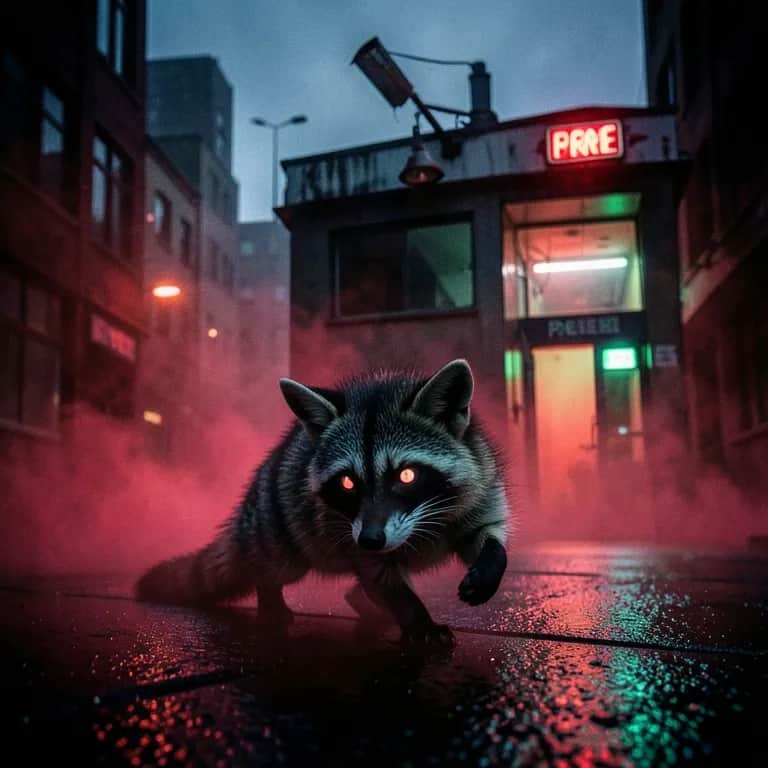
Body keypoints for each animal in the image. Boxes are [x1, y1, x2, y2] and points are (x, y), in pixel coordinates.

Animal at [135, 359, 511, 647]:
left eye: (406, 476)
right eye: (348, 482)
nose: (371, 539)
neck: (424, 521)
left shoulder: (481, 488)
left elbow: (489, 533)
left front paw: (490, 564)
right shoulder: (362, 543)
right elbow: (386, 582)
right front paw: (417, 619)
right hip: (279, 527)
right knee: (275, 566)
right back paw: (270, 597)